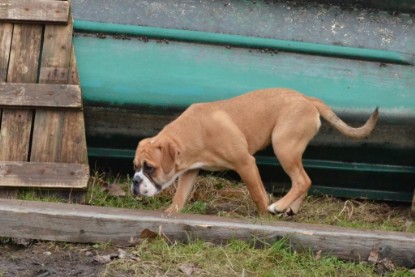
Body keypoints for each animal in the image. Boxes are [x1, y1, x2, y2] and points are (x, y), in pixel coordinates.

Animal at [132, 87, 378, 215]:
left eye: (150, 168)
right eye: (136, 167)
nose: (134, 181)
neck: (191, 132)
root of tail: (306, 98)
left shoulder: (245, 163)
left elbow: (257, 194)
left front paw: (263, 217)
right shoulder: (191, 171)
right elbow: (180, 196)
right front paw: (170, 214)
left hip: (283, 146)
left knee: (302, 180)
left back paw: (279, 206)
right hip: (289, 150)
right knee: (305, 181)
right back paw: (290, 208)